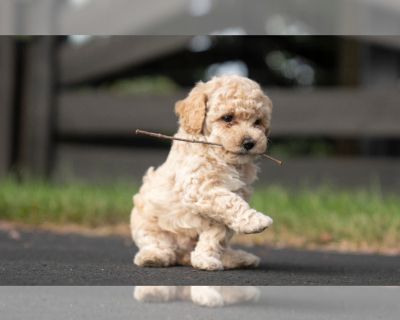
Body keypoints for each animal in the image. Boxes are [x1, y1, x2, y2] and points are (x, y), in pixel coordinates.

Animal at [130, 74, 274, 270]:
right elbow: (231, 203)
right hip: (147, 221)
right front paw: (257, 221)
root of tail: (182, 253)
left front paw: (205, 259)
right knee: (158, 244)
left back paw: (238, 258)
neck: (223, 158)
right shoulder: (200, 187)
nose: (249, 142)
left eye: (258, 122)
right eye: (227, 118)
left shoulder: (230, 198)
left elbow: (216, 234)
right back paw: (152, 256)